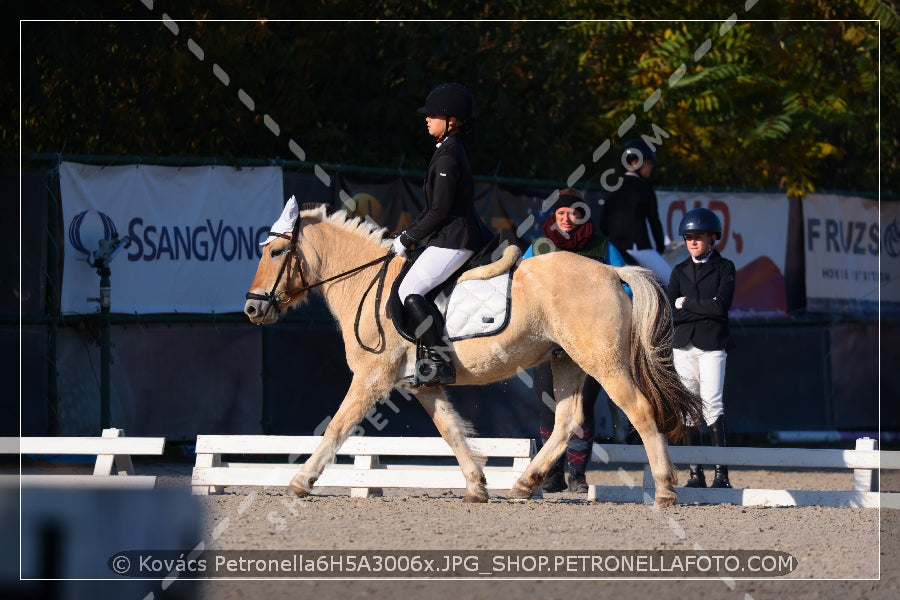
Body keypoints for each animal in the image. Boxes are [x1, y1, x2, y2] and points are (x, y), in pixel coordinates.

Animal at [244, 205, 704, 506]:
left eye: (276, 253)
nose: (251, 308)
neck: (366, 282)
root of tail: (611, 271)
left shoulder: (373, 375)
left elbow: (337, 427)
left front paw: (301, 481)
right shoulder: (422, 383)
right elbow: (450, 430)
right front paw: (477, 485)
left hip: (602, 361)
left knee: (640, 411)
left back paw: (665, 489)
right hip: (566, 359)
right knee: (566, 421)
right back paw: (523, 485)